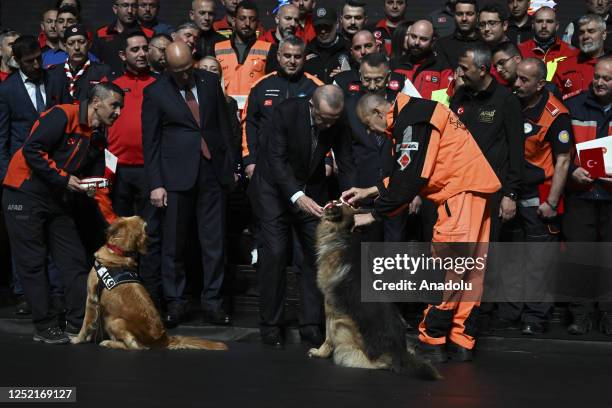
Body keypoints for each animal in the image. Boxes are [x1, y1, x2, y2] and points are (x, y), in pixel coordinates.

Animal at [70, 215, 227, 352]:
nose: (140, 216)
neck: (119, 253)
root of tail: (164, 339)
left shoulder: (91, 298)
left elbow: (86, 323)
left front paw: (78, 339)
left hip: (114, 321)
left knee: (135, 347)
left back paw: (108, 343)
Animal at [308, 206, 442, 380]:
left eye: (336, 203)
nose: (326, 206)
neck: (344, 234)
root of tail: (399, 354)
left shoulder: (330, 306)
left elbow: (328, 335)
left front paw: (320, 352)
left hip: (344, 328)